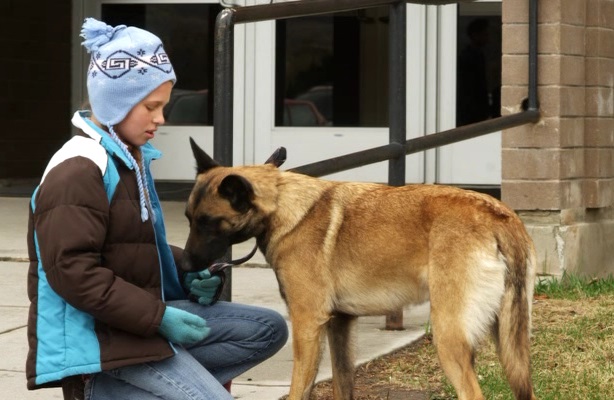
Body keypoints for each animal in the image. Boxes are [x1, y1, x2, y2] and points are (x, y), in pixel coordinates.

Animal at [183, 138, 540, 400]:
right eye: (188, 218)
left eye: (208, 222)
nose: (184, 264)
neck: (282, 205)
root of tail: (498, 215)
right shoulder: (340, 325)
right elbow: (343, 386)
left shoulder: (308, 325)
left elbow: (299, 390)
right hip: (508, 343)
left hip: (449, 337)